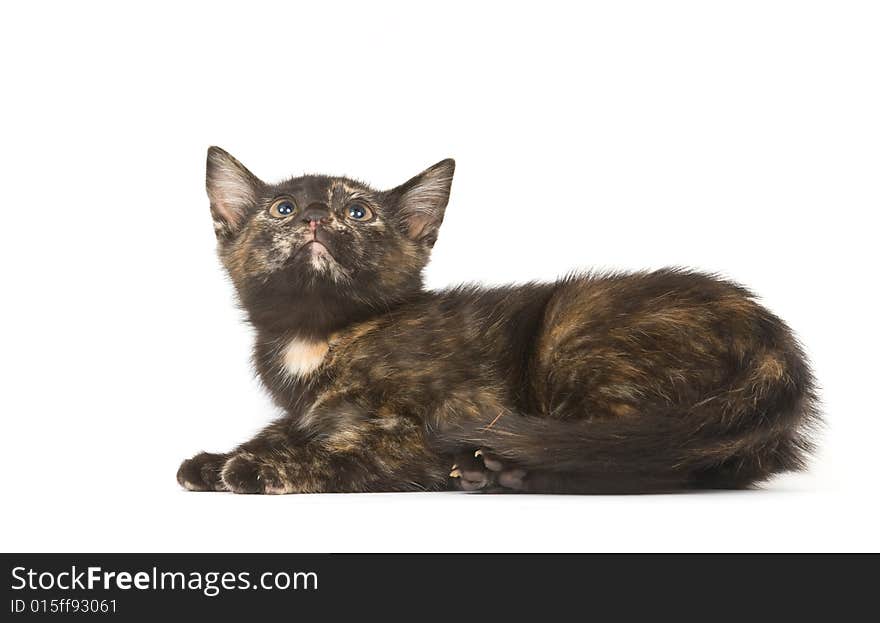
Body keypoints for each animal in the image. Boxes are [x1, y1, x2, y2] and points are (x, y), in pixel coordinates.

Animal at [177, 149, 820, 494]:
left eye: (356, 212)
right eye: (281, 209)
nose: (313, 215)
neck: (318, 334)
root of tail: (772, 336)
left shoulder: (442, 420)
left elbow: (353, 450)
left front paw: (256, 467)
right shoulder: (306, 407)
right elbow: (290, 425)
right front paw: (215, 460)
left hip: (571, 328)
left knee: (639, 454)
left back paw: (501, 471)